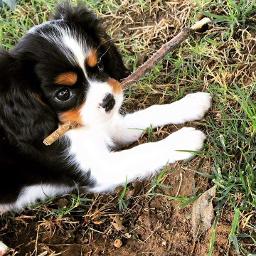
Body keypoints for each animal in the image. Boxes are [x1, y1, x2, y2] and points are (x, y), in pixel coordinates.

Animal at [0, 3, 212, 213]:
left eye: (100, 65)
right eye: (63, 94)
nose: (109, 101)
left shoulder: (107, 124)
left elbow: (148, 113)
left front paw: (190, 104)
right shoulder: (100, 169)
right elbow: (143, 151)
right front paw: (182, 141)